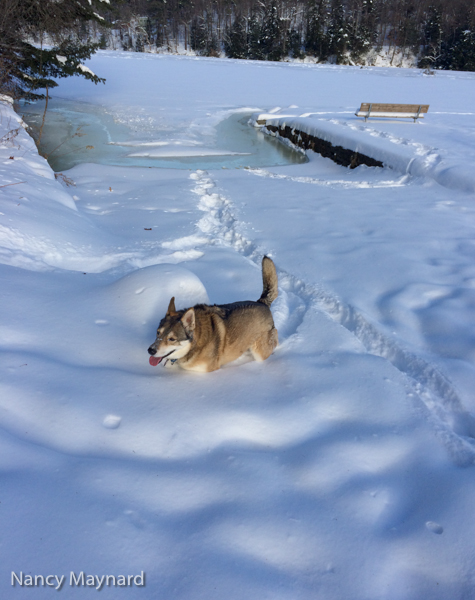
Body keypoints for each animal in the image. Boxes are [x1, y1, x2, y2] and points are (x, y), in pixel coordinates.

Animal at [147, 256, 278, 372]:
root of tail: (262, 302)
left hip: (259, 352)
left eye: (172, 339)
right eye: (158, 333)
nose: (150, 350)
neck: (194, 344)